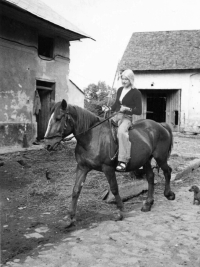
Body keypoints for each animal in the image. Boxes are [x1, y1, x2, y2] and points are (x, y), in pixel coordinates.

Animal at [44, 99, 174, 227]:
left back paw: (168, 194)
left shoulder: (108, 168)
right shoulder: (82, 167)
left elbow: (114, 188)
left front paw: (121, 211)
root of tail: (160, 125)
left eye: (58, 118)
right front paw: (70, 218)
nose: (48, 145)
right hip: (146, 159)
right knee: (151, 177)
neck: (92, 137)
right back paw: (148, 204)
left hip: (160, 157)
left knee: (167, 171)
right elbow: (76, 190)